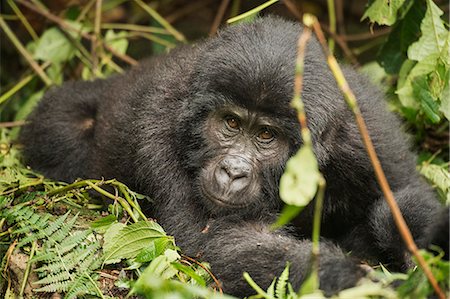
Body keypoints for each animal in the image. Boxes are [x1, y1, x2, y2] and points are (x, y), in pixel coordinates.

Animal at [20, 17, 446, 298]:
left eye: (265, 136)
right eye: (230, 122)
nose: (232, 171)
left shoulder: (367, 132)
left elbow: (405, 192)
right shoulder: (159, 125)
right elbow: (213, 243)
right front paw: (346, 278)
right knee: (62, 126)